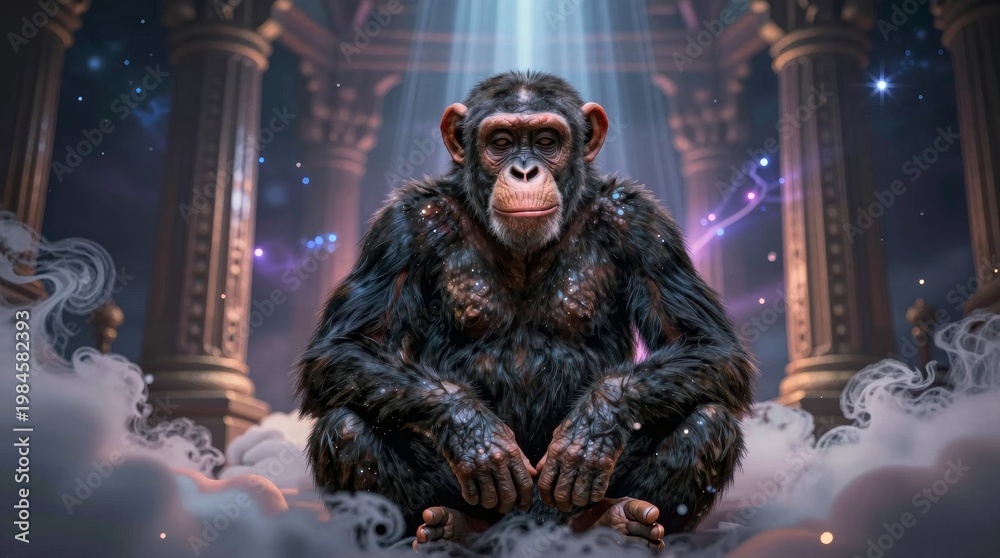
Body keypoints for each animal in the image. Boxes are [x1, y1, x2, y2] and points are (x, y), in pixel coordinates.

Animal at [296, 71, 756, 551]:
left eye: (546, 140)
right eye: (500, 141)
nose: (523, 170)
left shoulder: (642, 225)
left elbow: (705, 343)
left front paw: (593, 427)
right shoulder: (403, 227)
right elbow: (346, 347)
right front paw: (474, 434)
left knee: (707, 420)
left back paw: (612, 522)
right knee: (345, 426)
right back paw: (458, 528)